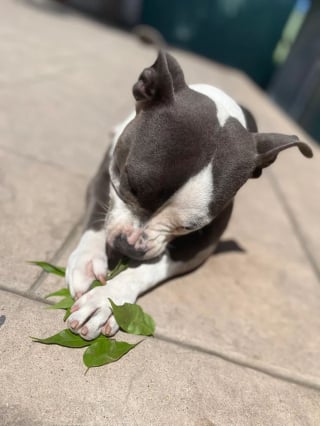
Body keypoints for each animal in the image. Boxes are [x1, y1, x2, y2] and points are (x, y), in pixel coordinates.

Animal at [64, 51, 312, 342]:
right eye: (131, 186)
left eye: (189, 227)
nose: (129, 246)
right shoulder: (106, 176)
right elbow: (97, 220)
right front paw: (88, 261)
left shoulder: (202, 244)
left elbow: (150, 268)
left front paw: (107, 299)